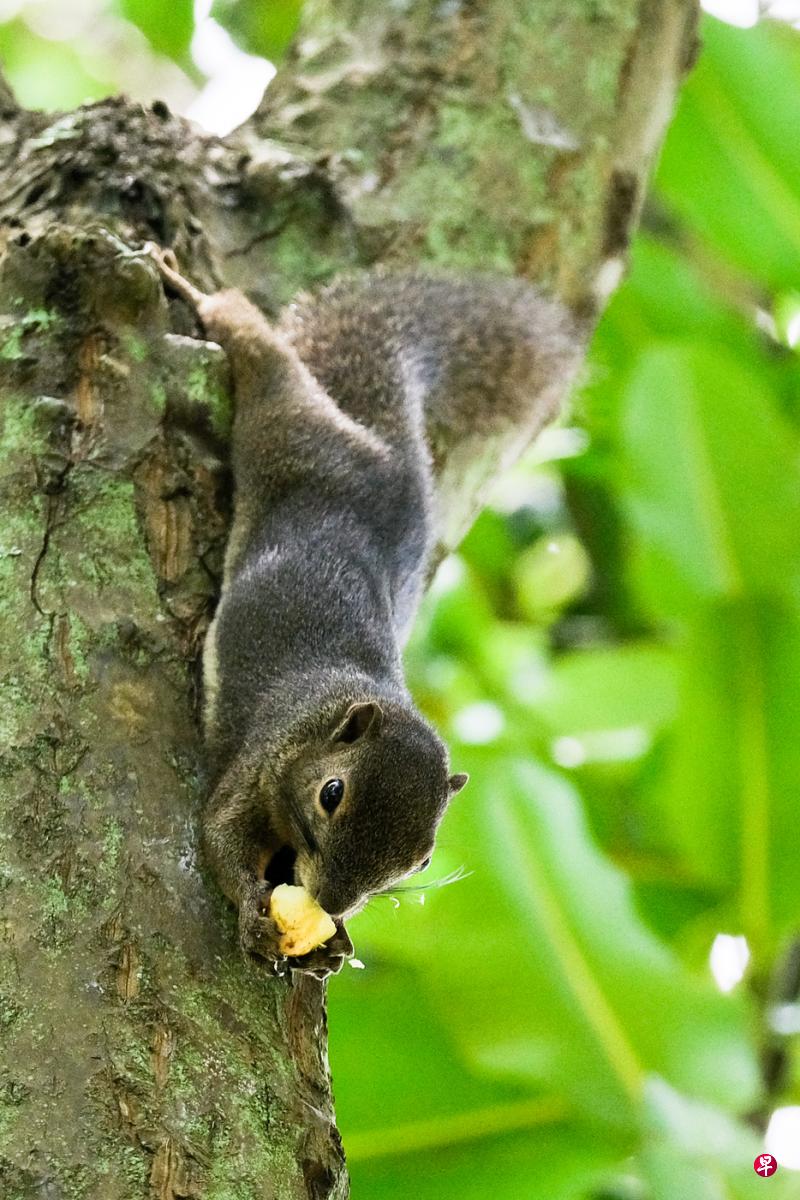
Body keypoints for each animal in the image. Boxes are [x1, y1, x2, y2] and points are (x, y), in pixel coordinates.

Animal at [146, 248, 578, 979]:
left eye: (423, 859)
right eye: (332, 794)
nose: (333, 901)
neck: (339, 710)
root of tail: (393, 458)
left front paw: (333, 941)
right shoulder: (264, 754)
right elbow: (220, 835)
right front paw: (256, 914)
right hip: (290, 431)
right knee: (264, 358)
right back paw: (195, 289)